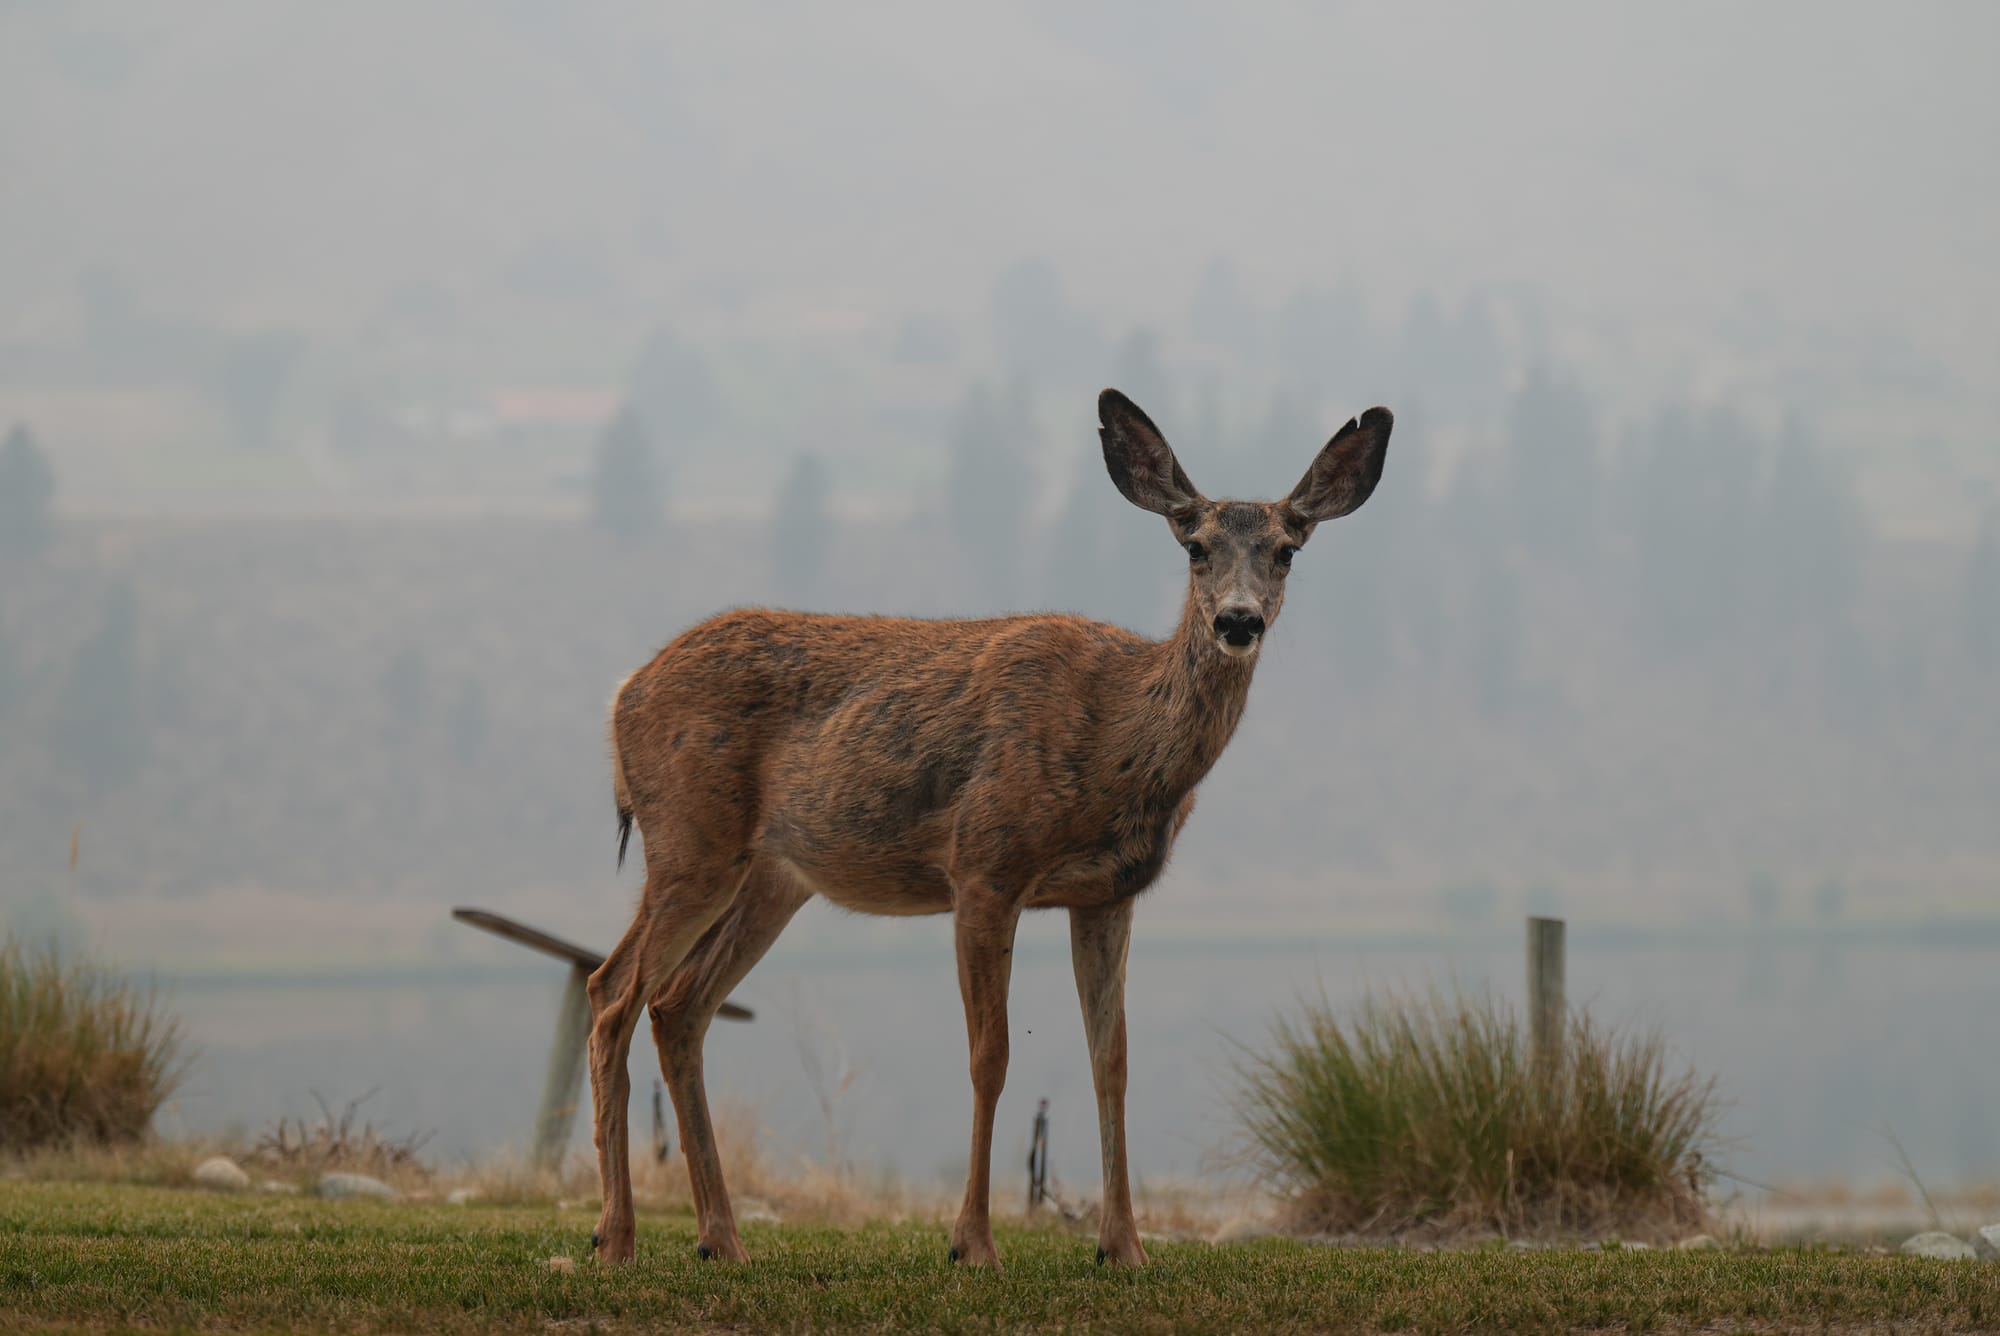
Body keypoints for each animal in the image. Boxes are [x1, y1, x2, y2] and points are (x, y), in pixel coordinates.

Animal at [585, 388, 1391, 1269]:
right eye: (1196, 547)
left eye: (1285, 550)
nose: (1239, 622)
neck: (1114, 740)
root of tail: (622, 692)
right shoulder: (983, 867)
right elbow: (990, 1056)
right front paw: (971, 1243)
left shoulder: (1107, 895)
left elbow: (1111, 1060)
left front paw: (1124, 1246)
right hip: (689, 841)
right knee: (611, 992)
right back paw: (615, 1235)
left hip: (772, 879)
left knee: (676, 1007)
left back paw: (720, 1239)